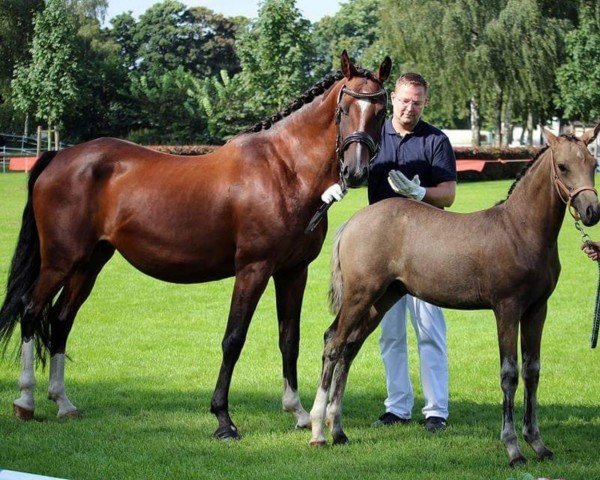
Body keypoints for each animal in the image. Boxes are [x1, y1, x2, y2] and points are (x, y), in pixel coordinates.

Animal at [0, 51, 392, 438]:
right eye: (345, 109)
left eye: (380, 111)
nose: (356, 171)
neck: (284, 170)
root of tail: (59, 157)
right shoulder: (253, 269)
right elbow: (233, 339)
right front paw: (223, 419)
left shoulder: (293, 272)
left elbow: (289, 339)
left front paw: (296, 412)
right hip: (60, 261)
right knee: (31, 310)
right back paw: (26, 401)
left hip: (89, 263)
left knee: (61, 319)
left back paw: (63, 402)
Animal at [310, 124, 600, 464]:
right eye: (563, 166)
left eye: (592, 163)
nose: (592, 211)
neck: (520, 231)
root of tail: (352, 222)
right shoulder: (507, 309)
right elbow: (510, 374)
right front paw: (513, 449)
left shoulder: (537, 310)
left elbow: (532, 371)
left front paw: (537, 443)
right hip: (359, 296)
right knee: (333, 343)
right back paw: (318, 431)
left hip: (382, 299)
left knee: (349, 348)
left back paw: (338, 431)